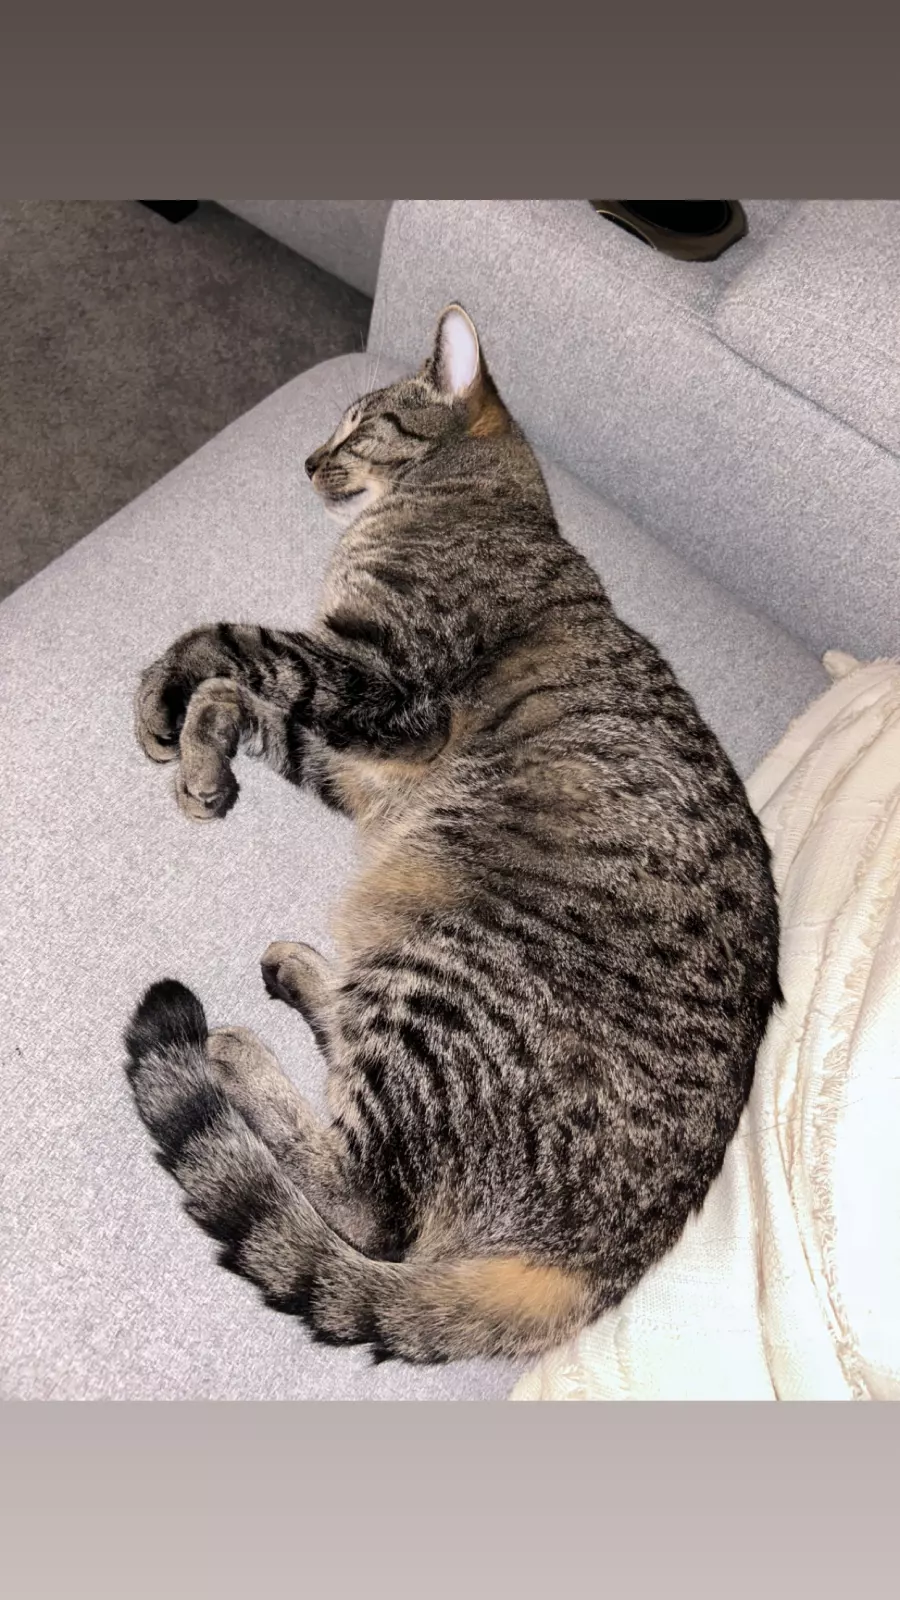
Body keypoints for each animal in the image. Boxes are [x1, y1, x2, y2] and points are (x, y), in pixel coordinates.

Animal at [125, 303, 781, 1364]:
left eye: (360, 427)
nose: (309, 459)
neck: (464, 498)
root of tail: (597, 1273)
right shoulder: (364, 762)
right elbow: (255, 707)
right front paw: (203, 758)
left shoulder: (386, 687)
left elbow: (225, 642)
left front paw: (162, 703)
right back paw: (302, 975)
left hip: (441, 977)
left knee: (369, 1206)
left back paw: (236, 1053)